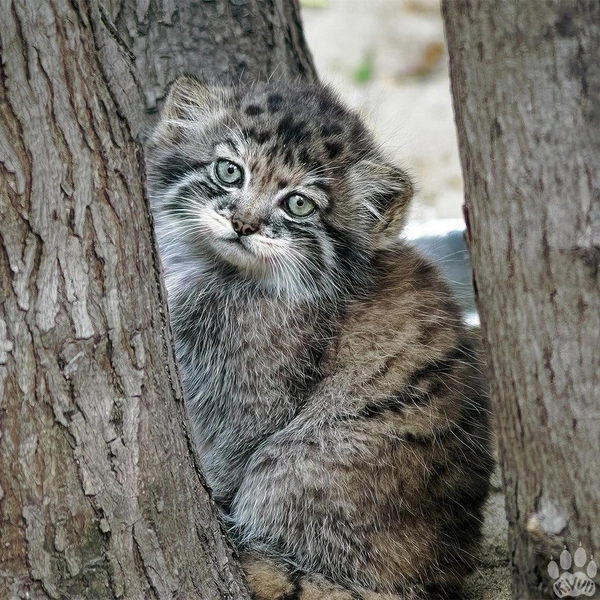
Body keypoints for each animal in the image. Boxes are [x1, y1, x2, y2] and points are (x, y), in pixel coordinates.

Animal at [146, 77, 492, 596]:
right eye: (229, 171)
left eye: (298, 204)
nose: (243, 224)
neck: (224, 274)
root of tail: (443, 575)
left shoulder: (254, 406)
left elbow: (225, 462)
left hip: (296, 462)